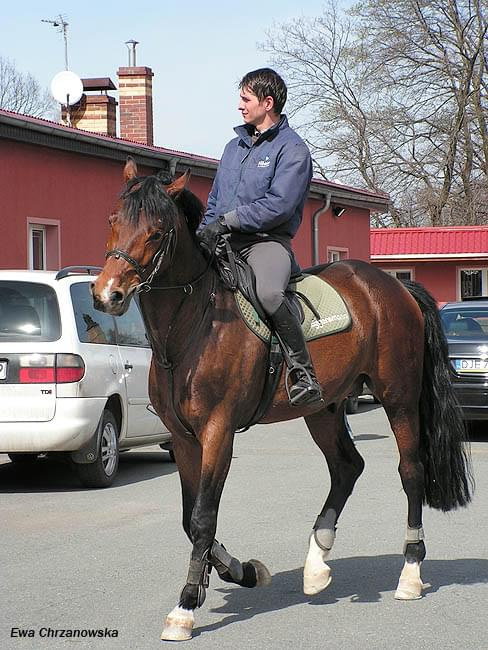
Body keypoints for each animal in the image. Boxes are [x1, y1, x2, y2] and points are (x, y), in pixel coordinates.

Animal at [91, 159, 472, 640]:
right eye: (112, 221)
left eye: (157, 232)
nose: (108, 293)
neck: (193, 327)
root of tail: (395, 287)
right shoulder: (182, 437)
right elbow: (188, 515)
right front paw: (243, 571)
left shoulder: (218, 432)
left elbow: (202, 516)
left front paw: (185, 606)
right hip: (324, 408)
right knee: (347, 467)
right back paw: (316, 564)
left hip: (398, 397)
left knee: (411, 471)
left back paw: (409, 574)